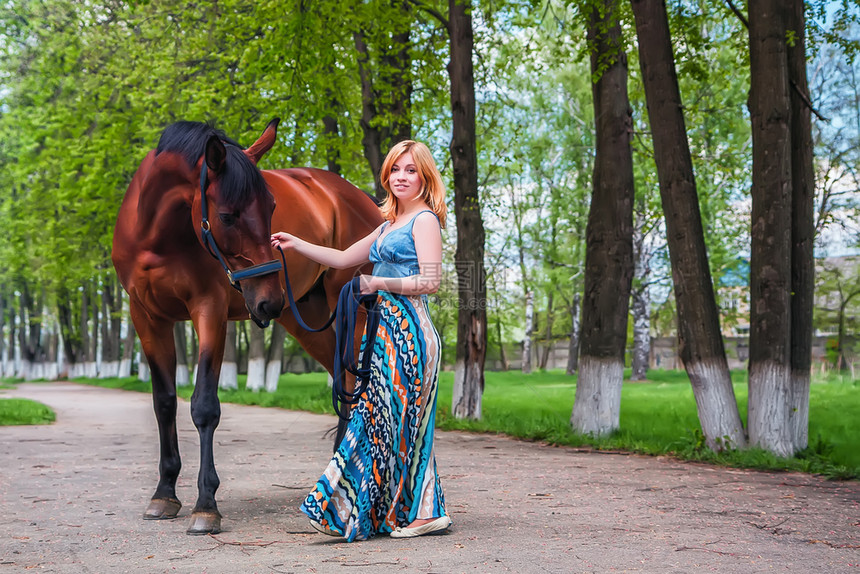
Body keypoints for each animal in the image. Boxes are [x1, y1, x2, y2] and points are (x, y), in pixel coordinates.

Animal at [112, 119, 382, 536]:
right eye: (227, 215)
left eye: (272, 207)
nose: (268, 301)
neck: (159, 237)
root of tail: (359, 198)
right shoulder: (147, 317)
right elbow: (164, 402)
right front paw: (164, 494)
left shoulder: (209, 310)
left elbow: (205, 406)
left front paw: (206, 506)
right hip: (308, 319)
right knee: (342, 381)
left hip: (350, 309)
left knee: (353, 385)